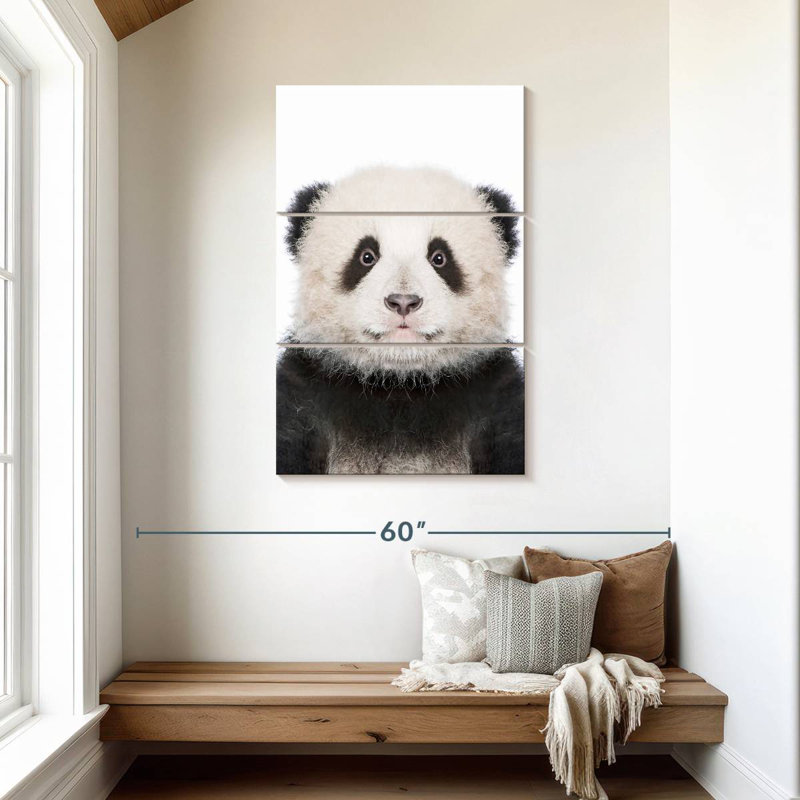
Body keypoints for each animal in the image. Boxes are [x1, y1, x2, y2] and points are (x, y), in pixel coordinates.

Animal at [276, 166, 524, 475]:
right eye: (366, 256)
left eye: (440, 258)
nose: (403, 301)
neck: (400, 384)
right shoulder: (303, 395)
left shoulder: (496, 398)